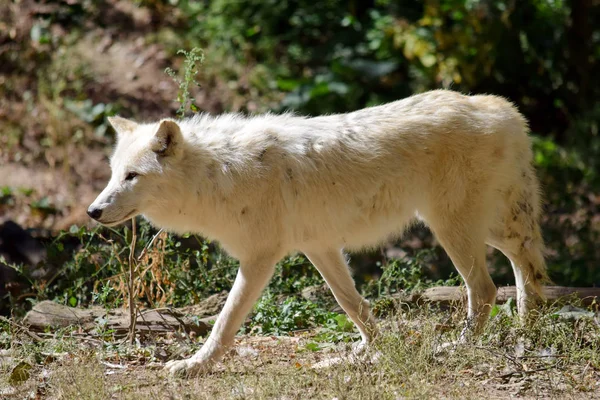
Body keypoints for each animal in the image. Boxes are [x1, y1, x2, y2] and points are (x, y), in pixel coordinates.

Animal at [88, 89, 548, 376]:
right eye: (112, 173)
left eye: (132, 176)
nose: (93, 211)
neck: (221, 172)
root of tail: (500, 107)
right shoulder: (320, 246)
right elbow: (354, 306)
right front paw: (372, 351)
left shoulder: (259, 258)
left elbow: (224, 322)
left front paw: (193, 366)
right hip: (481, 227)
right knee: (528, 263)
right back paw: (528, 330)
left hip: (453, 228)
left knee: (486, 289)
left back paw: (457, 347)